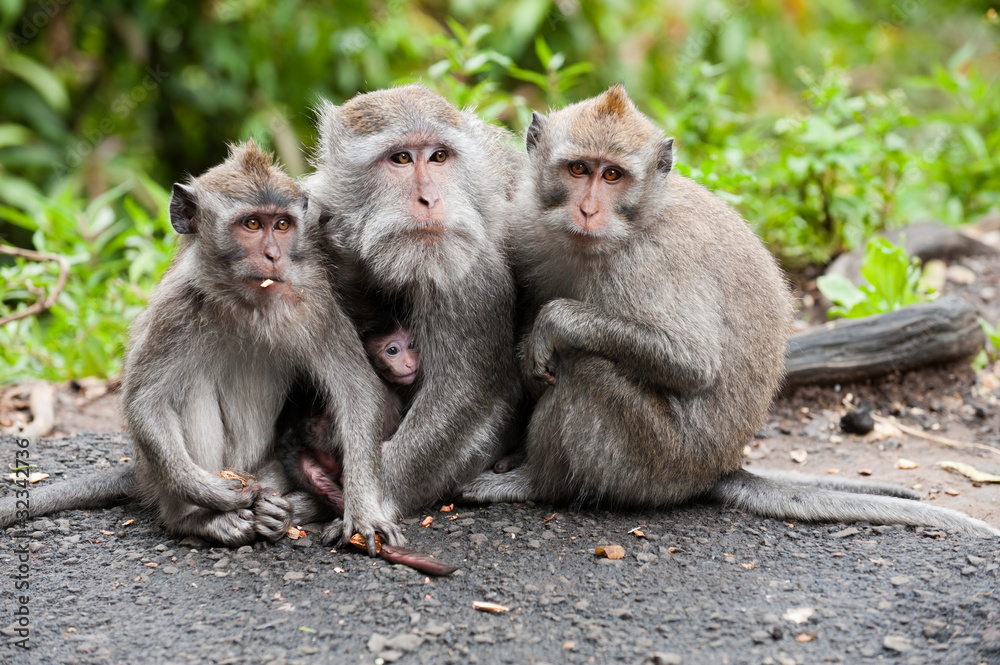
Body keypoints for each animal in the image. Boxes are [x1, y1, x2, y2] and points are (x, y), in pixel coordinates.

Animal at [0, 141, 401, 552]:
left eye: (282, 225)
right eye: (252, 224)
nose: (274, 255)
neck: (244, 303)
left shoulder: (314, 303)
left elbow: (357, 390)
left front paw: (363, 511)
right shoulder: (175, 309)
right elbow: (145, 403)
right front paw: (209, 492)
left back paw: (281, 511)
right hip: (167, 473)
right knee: (186, 391)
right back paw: (198, 520)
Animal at [303, 84, 522, 519]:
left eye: (438, 157)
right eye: (401, 158)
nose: (430, 199)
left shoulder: (469, 267)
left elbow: (461, 391)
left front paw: (374, 498)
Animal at [460, 85, 1000, 539]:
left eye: (612, 175)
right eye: (578, 170)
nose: (588, 210)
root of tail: (718, 467)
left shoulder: (652, 261)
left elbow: (691, 361)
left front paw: (554, 324)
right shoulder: (524, 223)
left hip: (659, 462)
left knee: (589, 369)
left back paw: (535, 480)